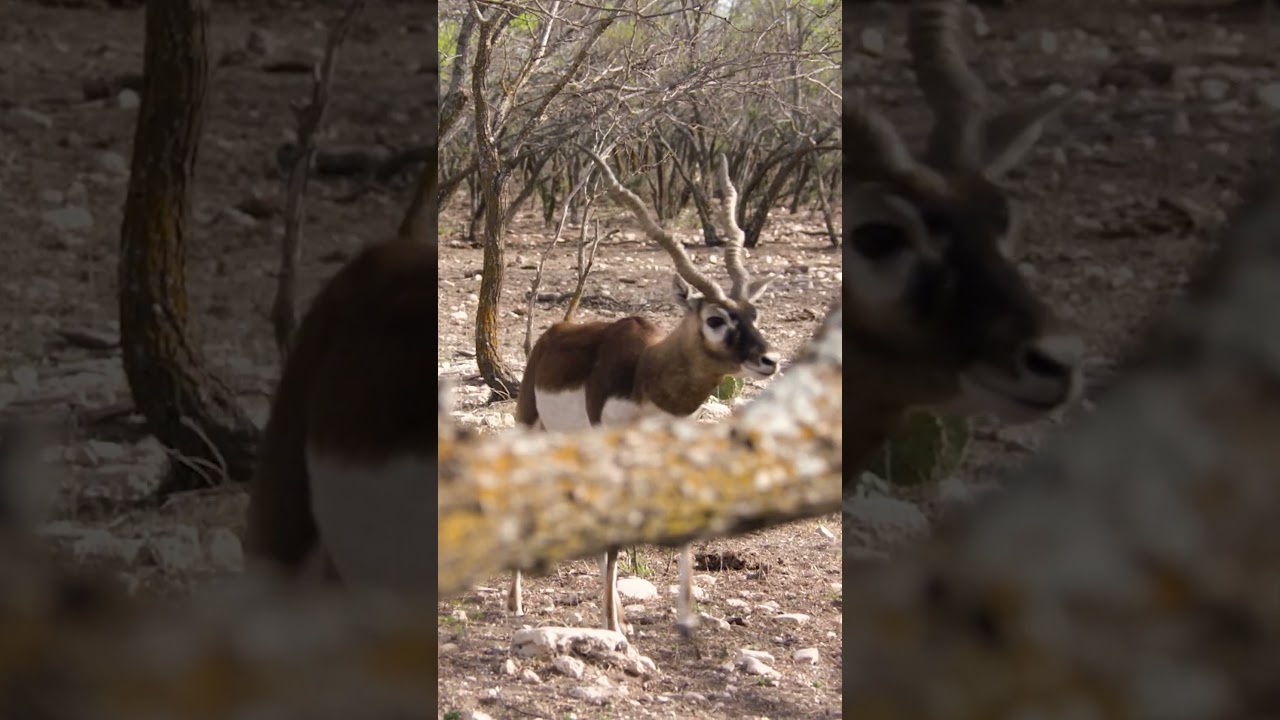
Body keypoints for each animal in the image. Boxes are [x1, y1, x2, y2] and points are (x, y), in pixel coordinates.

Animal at [509, 148, 779, 638]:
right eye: (715, 319)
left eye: (754, 312)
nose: (770, 359)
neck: (647, 374)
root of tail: (553, 334)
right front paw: (612, 624)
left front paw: (682, 617)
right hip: (530, 426)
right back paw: (516, 603)